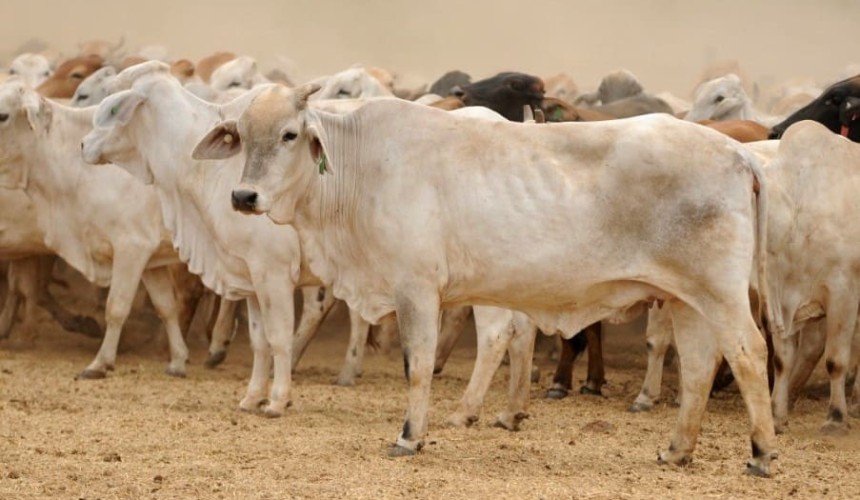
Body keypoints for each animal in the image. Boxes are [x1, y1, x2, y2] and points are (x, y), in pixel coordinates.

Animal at [0, 79, 189, 378]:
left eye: (3, 115)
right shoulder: (152, 259)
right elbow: (166, 307)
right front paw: (179, 361)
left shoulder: (131, 247)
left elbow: (116, 307)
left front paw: (100, 362)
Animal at [193, 85, 777, 475]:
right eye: (242, 137)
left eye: (290, 134)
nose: (243, 197)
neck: (363, 166)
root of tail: (737, 152)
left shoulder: (416, 288)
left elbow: (418, 364)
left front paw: (410, 436)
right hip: (685, 299)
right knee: (700, 365)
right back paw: (677, 450)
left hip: (719, 294)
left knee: (749, 352)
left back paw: (763, 453)